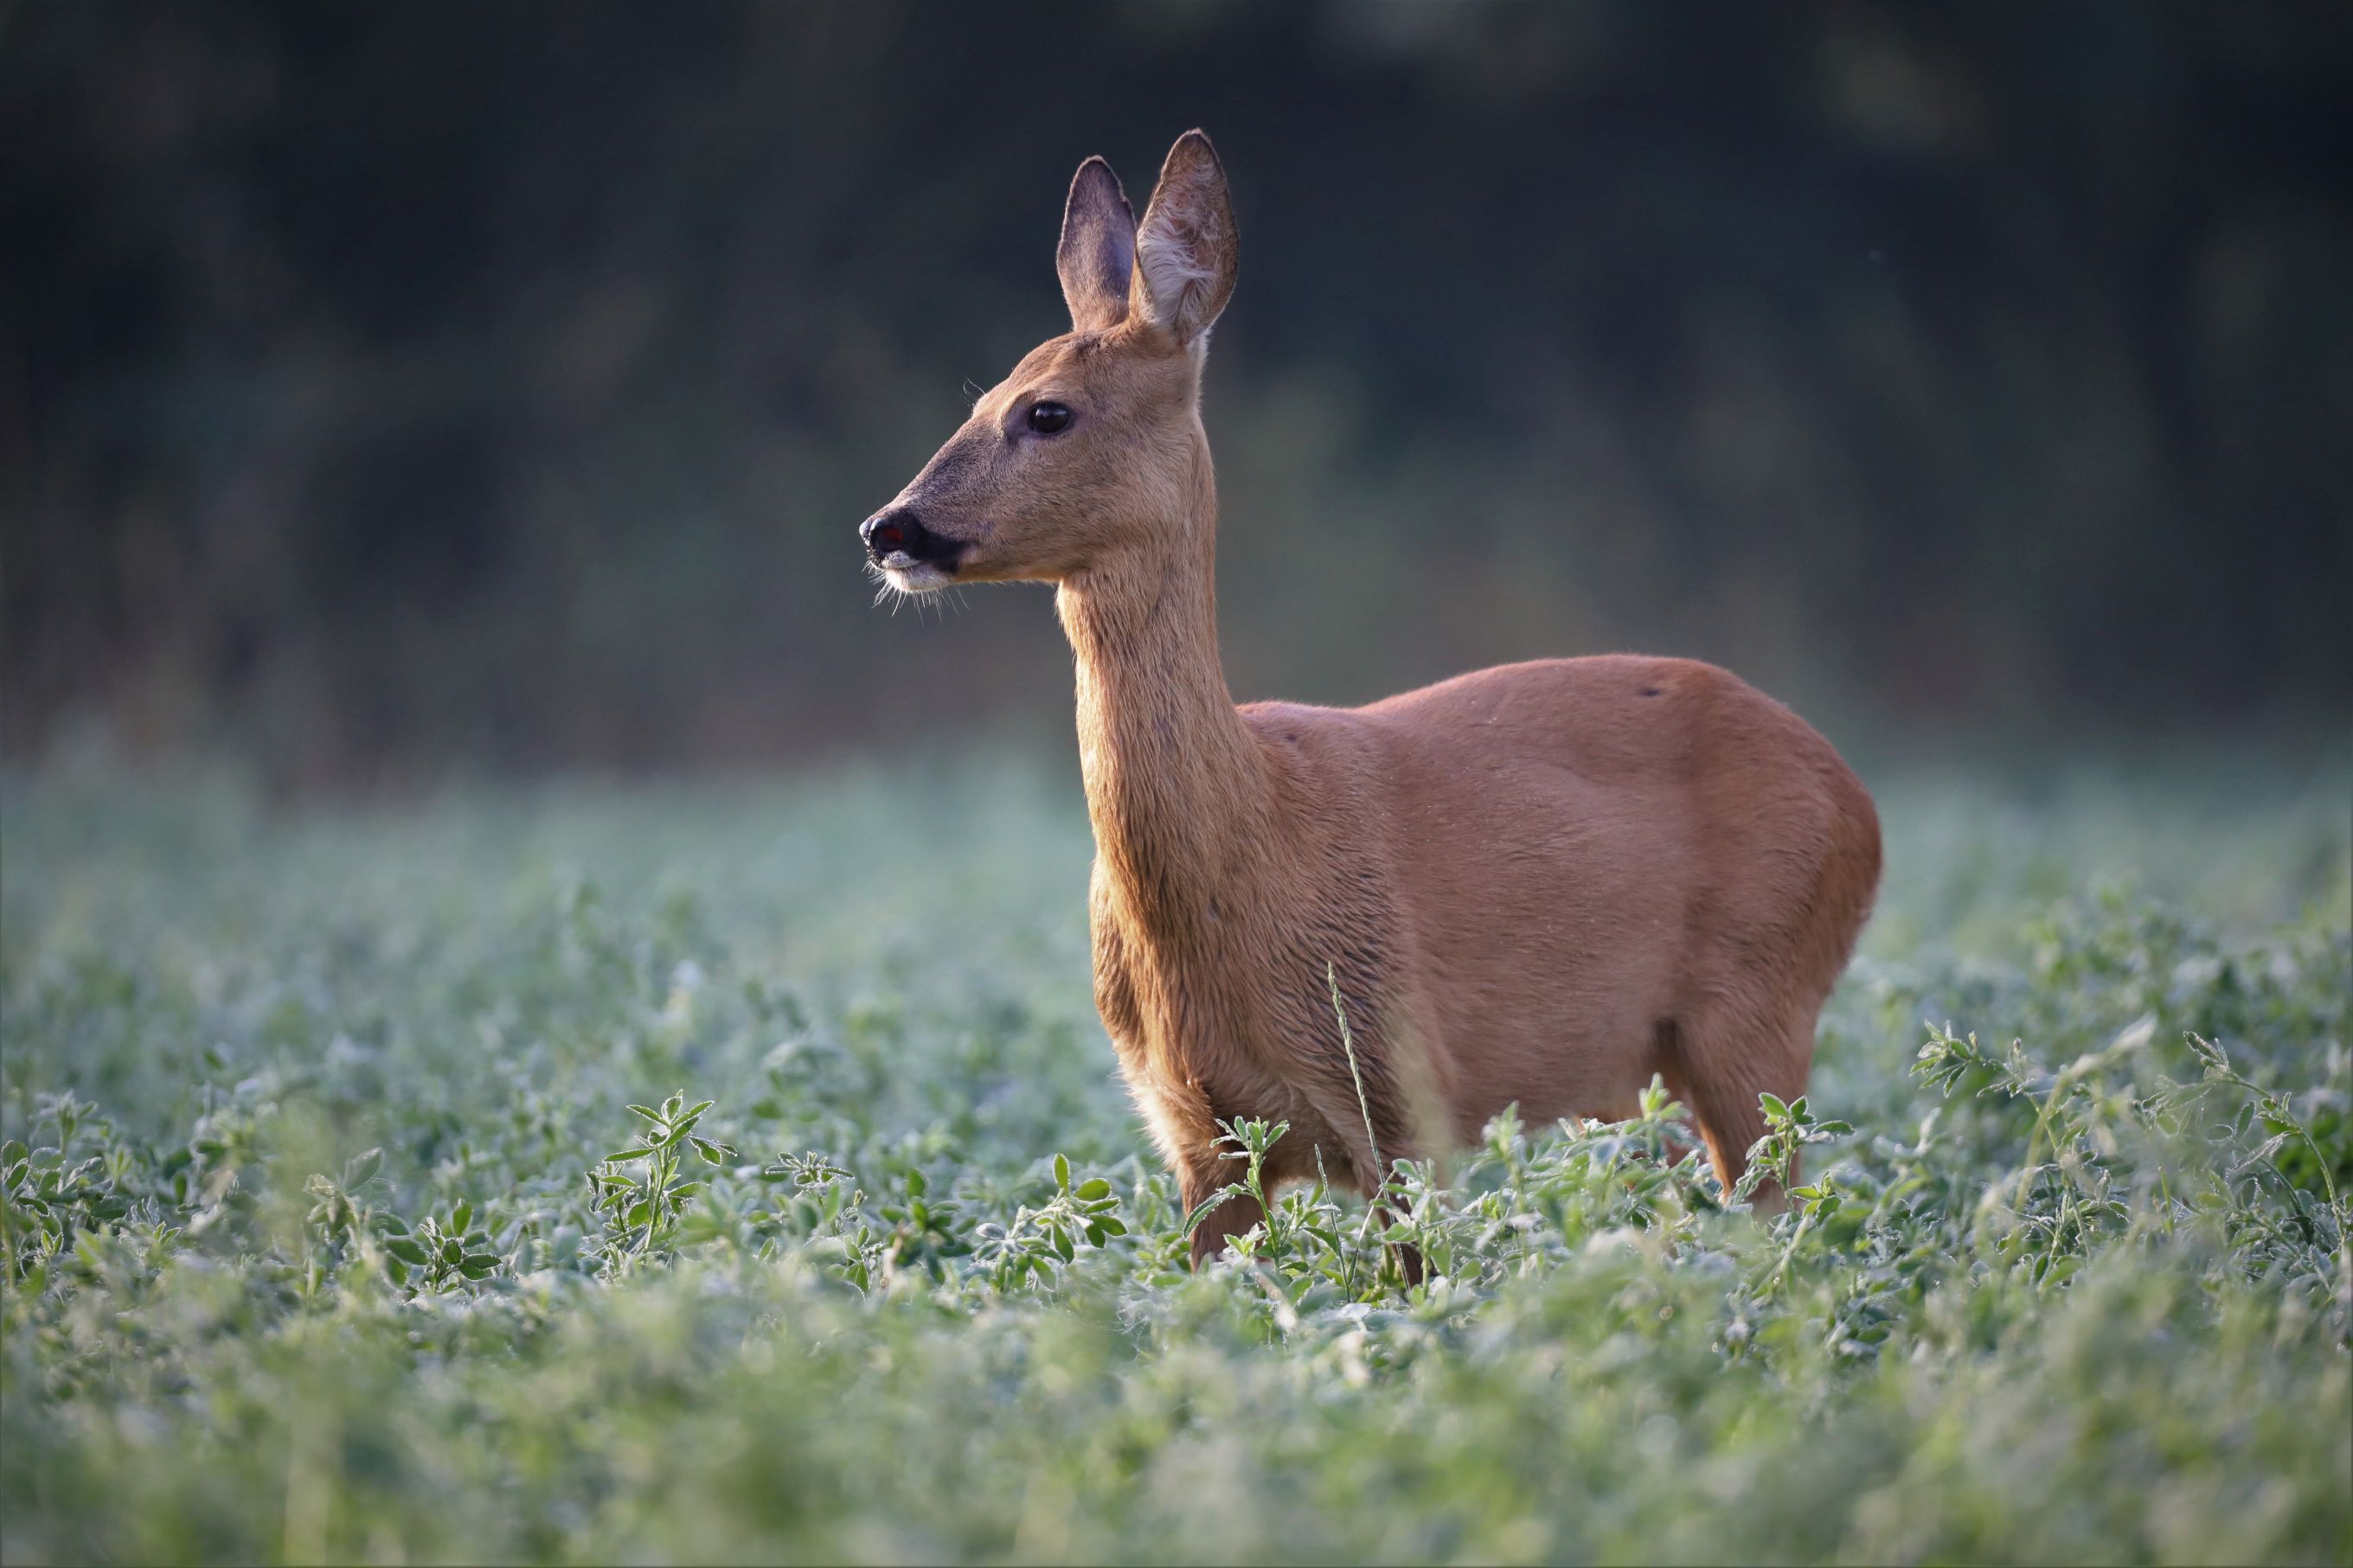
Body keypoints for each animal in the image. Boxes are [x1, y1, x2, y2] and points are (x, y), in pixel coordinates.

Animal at [858, 131, 1882, 1269]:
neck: (1245, 851)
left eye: (1045, 411)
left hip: (1757, 1005)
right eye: (979, 395)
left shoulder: (1401, 1086)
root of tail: (1857, 800)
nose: (889, 528)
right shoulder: (1195, 1135)